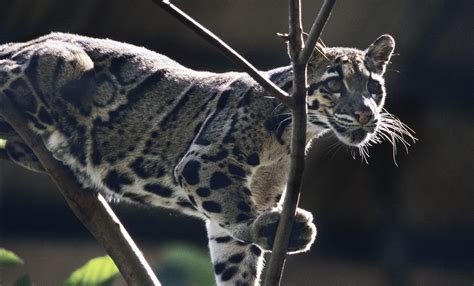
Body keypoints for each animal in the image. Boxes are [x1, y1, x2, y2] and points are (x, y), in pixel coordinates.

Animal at [0, 32, 414, 284]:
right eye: (334, 84)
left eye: (373, 87)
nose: (365, 113)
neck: (292, 136)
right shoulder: (204, 161)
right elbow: (233, 212)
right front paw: (268, 228)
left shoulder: (257, 194)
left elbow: (234, 252)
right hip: (60, 62)